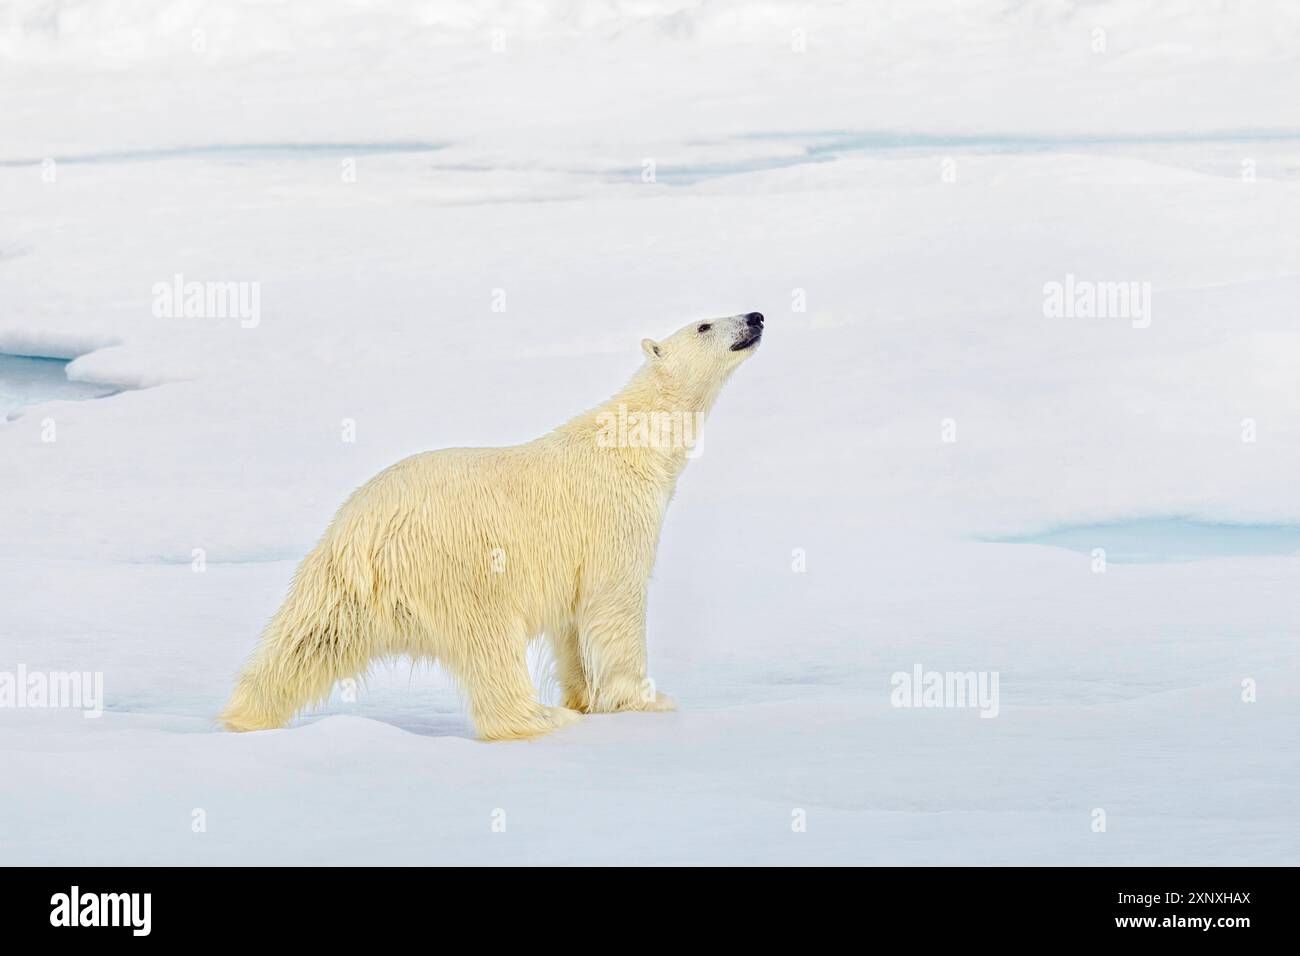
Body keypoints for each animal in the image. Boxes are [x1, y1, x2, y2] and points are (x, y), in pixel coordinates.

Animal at [219, 314, 764, 738]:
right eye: (704, 324)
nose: (756, 316)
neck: (634, 443)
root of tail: (365, 534)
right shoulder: (613, 518)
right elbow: (615, 604)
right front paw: (647, 700)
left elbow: (572, 625)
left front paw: (583, 698)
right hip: (461, 564)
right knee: (491, 641)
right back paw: (538, 718)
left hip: (336, 579)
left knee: (306, 641)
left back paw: (244, 715)